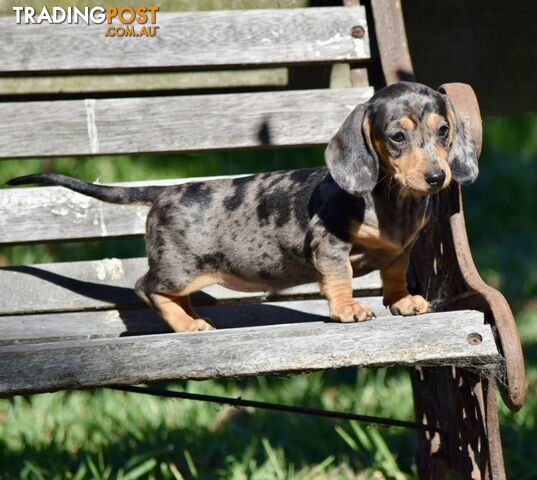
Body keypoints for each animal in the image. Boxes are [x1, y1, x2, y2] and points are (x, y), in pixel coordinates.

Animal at [8, 81, 478, 330]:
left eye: (443, 131)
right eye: (397, 137)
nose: (437, 178)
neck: (390, 199)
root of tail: (163, 192)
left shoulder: (398, 250)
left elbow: (394, 274)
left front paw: (403, 302)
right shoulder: (329, 245)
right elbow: (340, 278)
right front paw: (348, 309)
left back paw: (191, 317)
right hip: (180, 269)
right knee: (146, 287)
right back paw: (185, 325)